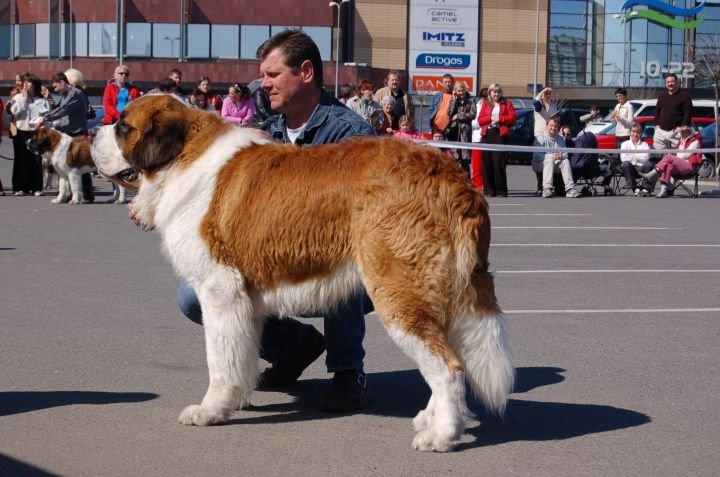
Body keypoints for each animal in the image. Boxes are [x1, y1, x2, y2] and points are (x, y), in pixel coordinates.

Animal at [91, 95, 514, 452]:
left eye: (123, 126)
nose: (91, 134)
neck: (181, 159)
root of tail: (451, 175)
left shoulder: (219, 289)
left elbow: (219, 358)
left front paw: (210, 410)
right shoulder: (243, 298)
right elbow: (240, 352)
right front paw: (237, 398)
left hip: (398, 293)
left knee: (448, 367)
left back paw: (442, 436)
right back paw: (431, 417)